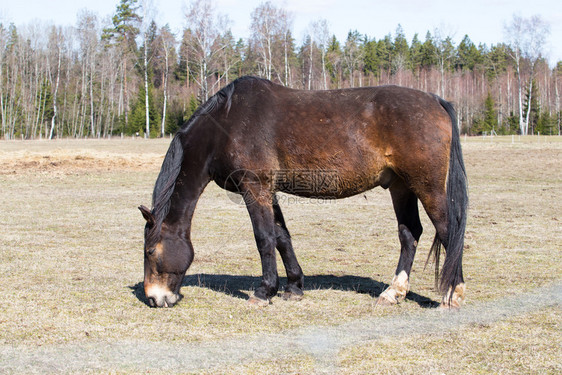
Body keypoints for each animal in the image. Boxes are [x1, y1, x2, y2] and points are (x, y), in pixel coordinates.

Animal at [138, 75, 466, 308]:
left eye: (150, 251)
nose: (154, 298)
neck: (226, 125)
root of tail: (437, 101)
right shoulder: (269, 192)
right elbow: (282, 236)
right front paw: (294, 286)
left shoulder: (254, 187)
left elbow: (264, 238)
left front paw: (263, 291)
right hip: (401, 186)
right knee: (409, 233)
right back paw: (393, 292)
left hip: (426, 186)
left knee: (448, 230)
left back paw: (453, 294)